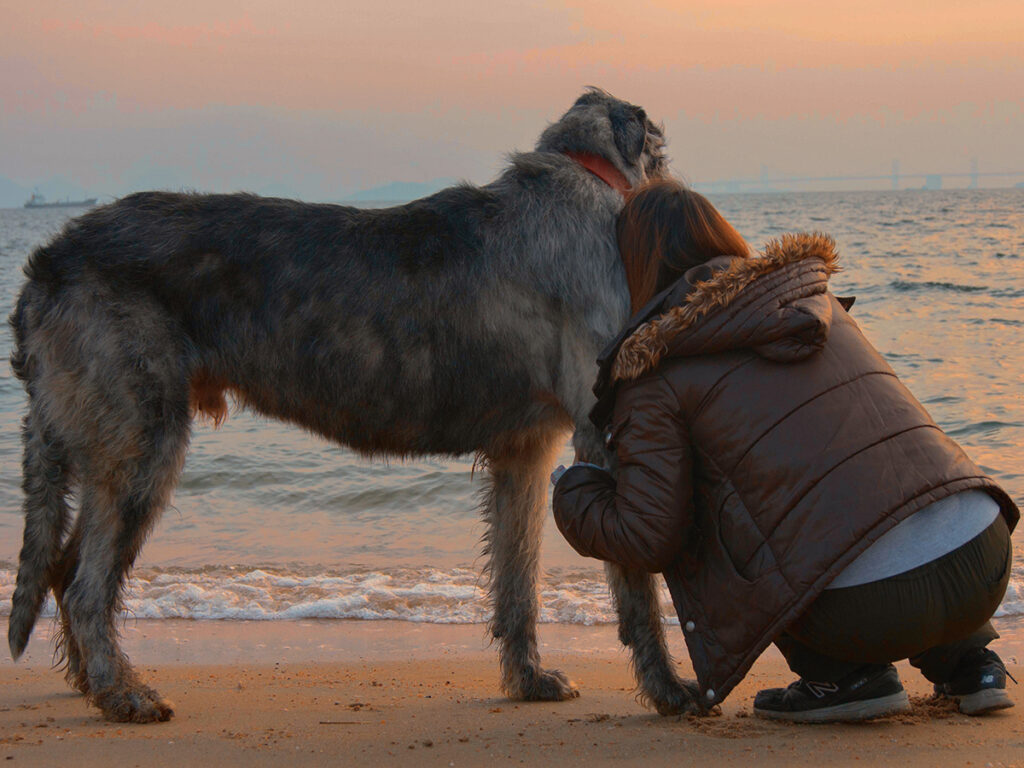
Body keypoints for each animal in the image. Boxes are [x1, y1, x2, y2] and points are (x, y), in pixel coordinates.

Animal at [8, 87, 700, 724]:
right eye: (664, 152)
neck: (581, 174)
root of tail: (48, 263)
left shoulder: (522, 450)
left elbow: (518, 574)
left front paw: (528, 678)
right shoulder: (598, 428)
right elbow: (635, 582)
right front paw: (669, 689)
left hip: (106, 432)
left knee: (65, 567)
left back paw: (93, 684)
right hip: (142, 433)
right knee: (87, 584)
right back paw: (123, 691)